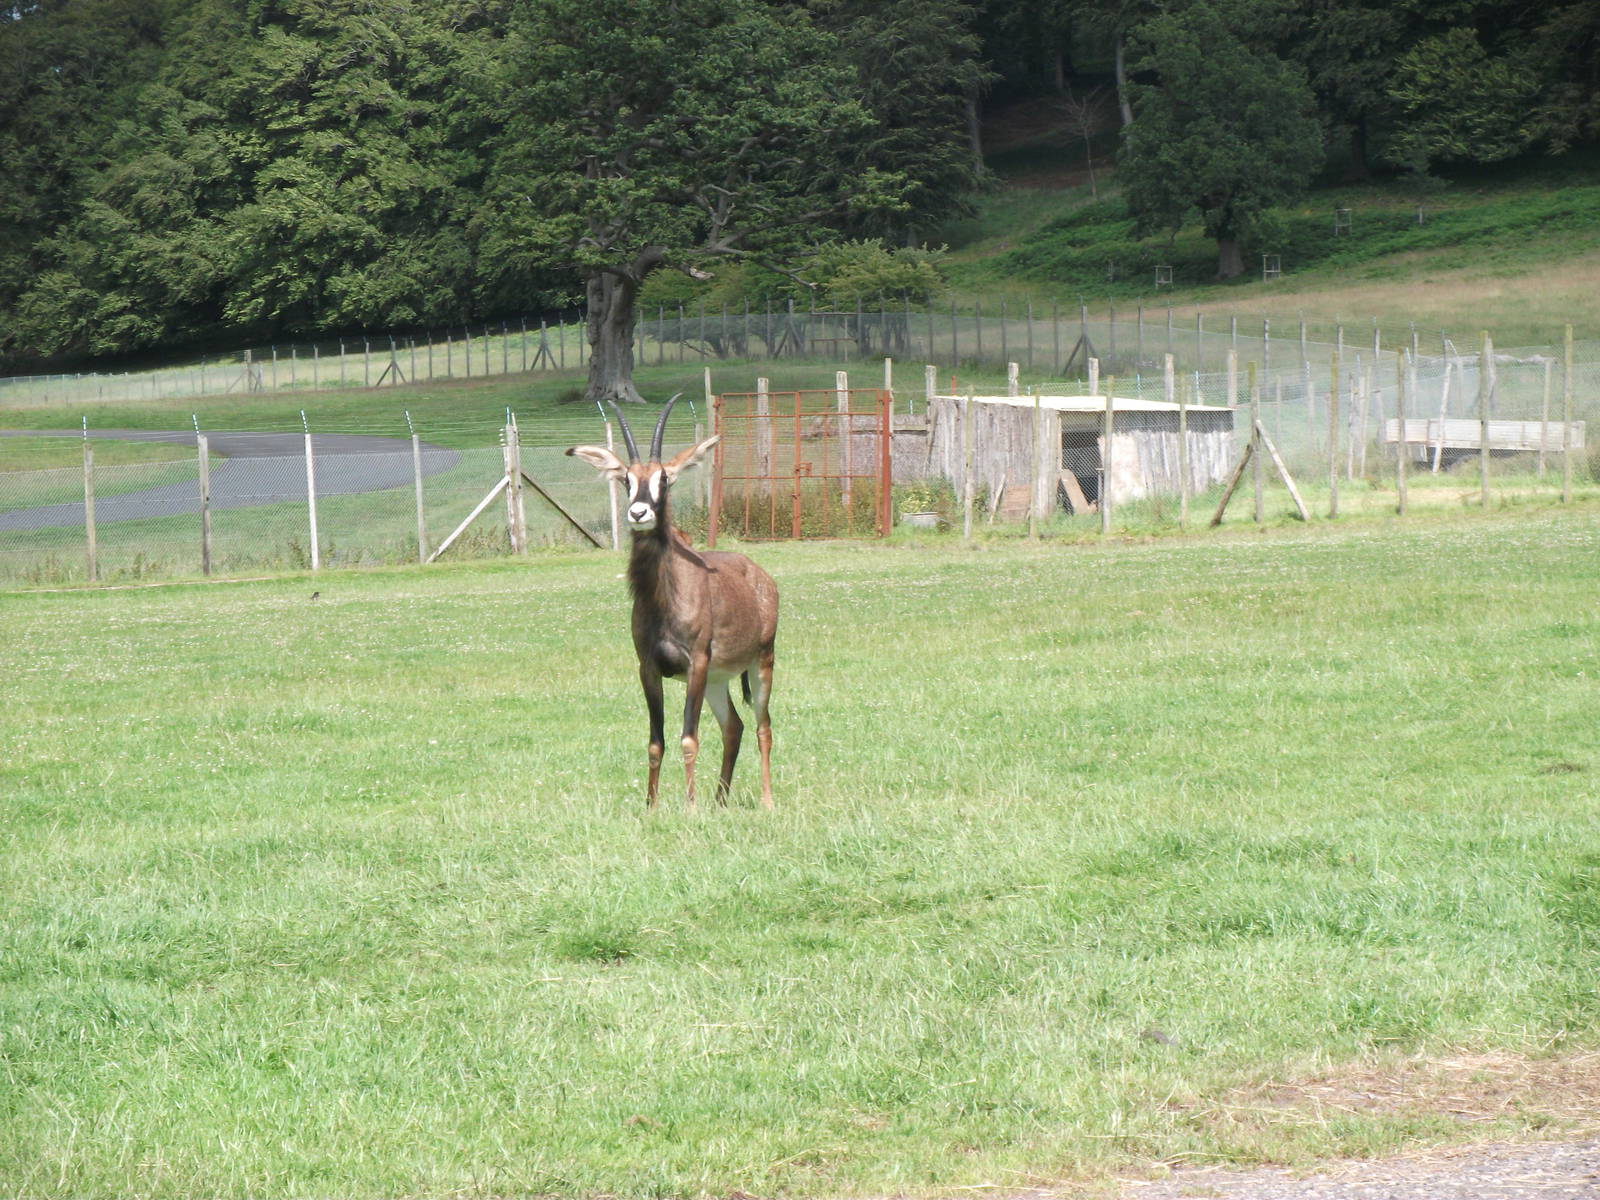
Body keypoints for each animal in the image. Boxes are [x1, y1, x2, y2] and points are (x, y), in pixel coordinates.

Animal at [567, 395, 778, 810]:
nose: (639, 513)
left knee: (763, 728)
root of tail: (760, 576)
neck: (664, 598)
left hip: (761, 664)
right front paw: (651, 808)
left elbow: (688, 738)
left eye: (664, 479)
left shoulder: (695, 664)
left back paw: (765, 801)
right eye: (627, 479)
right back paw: (720, 801)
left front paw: (690, 807)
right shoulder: (648, 668)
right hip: (718, 679)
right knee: (734, 727)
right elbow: (656, 742)